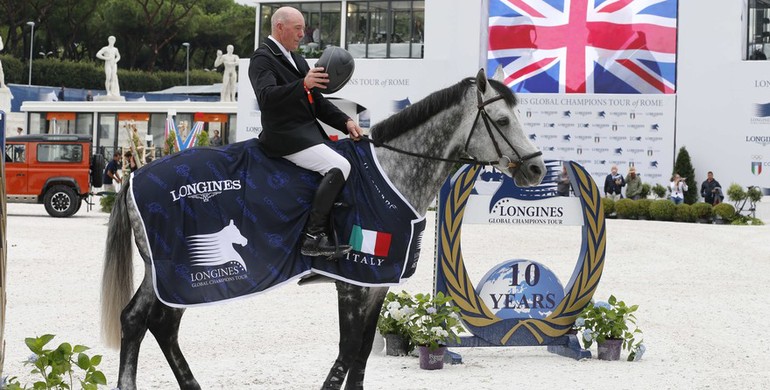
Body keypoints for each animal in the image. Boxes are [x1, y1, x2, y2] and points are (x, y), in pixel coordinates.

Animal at [102, 68, 544, 388]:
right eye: (502, 120)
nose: (537, 168)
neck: (391, 172)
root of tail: (136, 173)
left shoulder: (376, 285)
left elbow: (361, 355)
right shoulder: (351, 283)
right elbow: (347, 352)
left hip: (173, 279)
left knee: (152, 323)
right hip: (178, 274)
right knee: (145, 321)